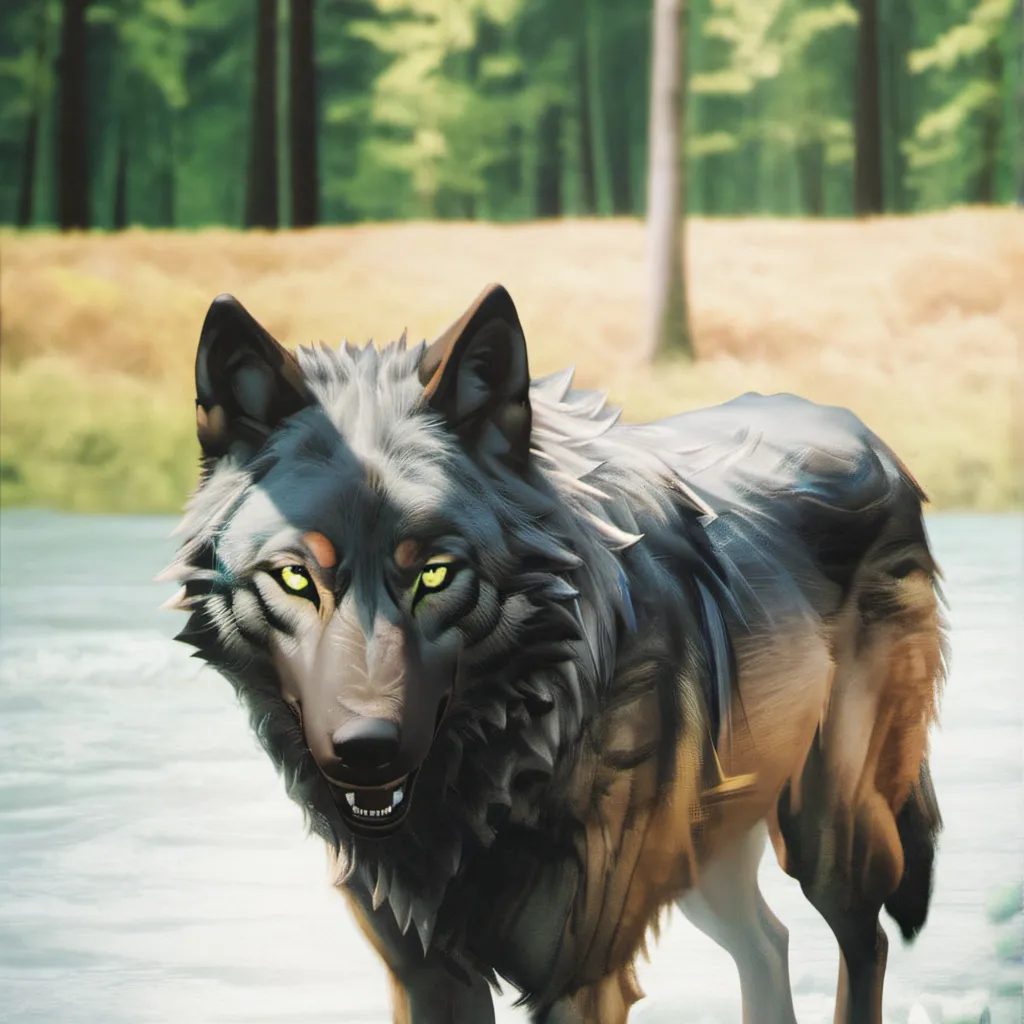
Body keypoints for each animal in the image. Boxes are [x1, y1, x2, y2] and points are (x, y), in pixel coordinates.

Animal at [164, 284, 945, 1024]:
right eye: (298, 577)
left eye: (434, 574)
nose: (366, 750)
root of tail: (865, 433)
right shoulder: (426, 977)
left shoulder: (579, 979)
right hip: (704, 857)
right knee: (768, 941)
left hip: (828, 837)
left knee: (865, 939)